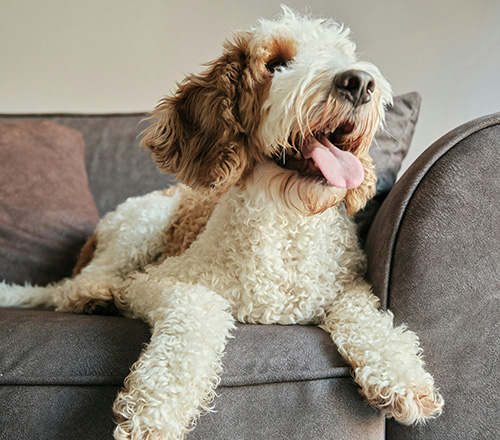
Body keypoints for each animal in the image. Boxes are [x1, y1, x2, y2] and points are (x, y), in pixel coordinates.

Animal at [0, 7, 443, 439]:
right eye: (276, 64)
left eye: (341, 55)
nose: (360, 82)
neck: (285, 219)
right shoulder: (158, 281)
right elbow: (200, 311)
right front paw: (154, 410)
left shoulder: (347, 287)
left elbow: (369, 320)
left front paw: (403, 377)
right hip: (142, 224)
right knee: (77, 283)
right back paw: (96, 296)